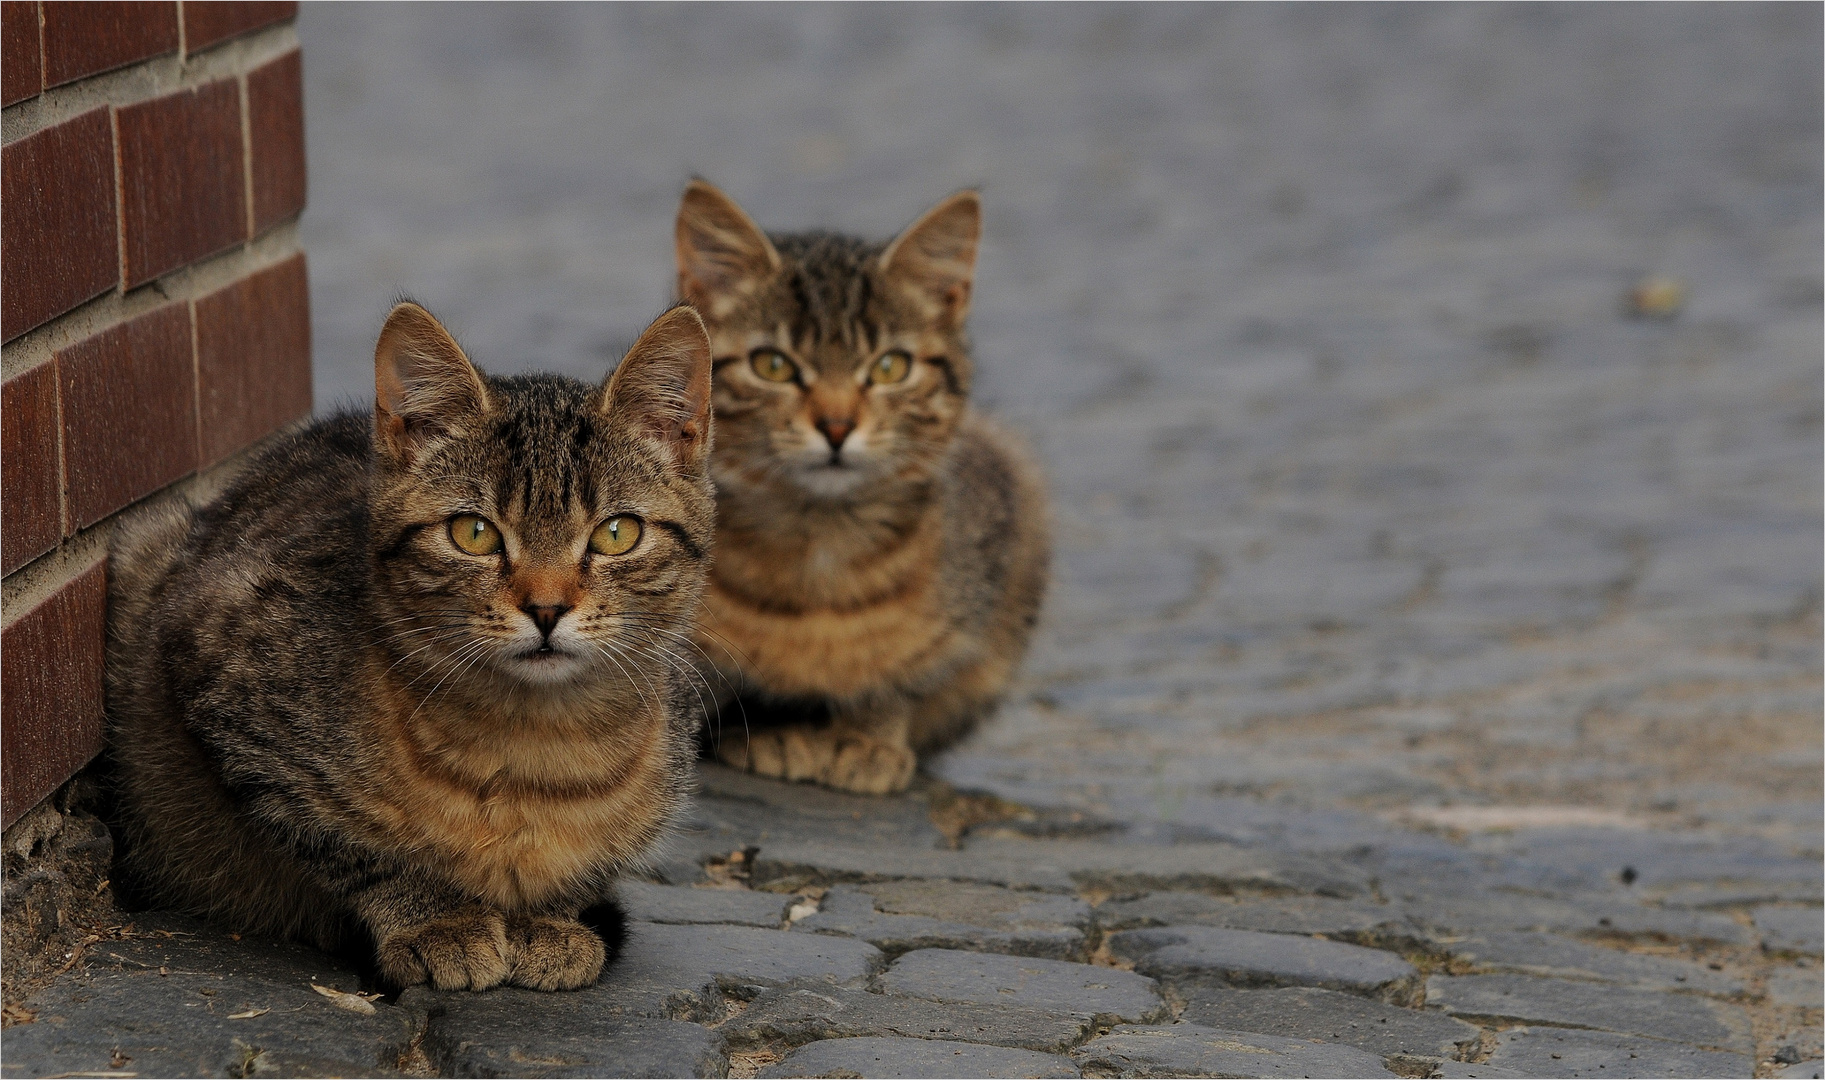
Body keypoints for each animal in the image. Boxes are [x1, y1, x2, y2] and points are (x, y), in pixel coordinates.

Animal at [104, 299, 719, 992]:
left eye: (617, 533)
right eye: (473, 532)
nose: (546, 608)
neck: (531, 748)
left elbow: (592, 869)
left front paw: (551, 919)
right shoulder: (224, 682)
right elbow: (352, 847)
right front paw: (434, 920)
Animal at [675, 181, 1051, 799]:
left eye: (891, 367)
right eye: (772, 365)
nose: (836, 425)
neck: (820, 552)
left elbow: (898, 673)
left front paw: (869, 737)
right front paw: (773, 729)